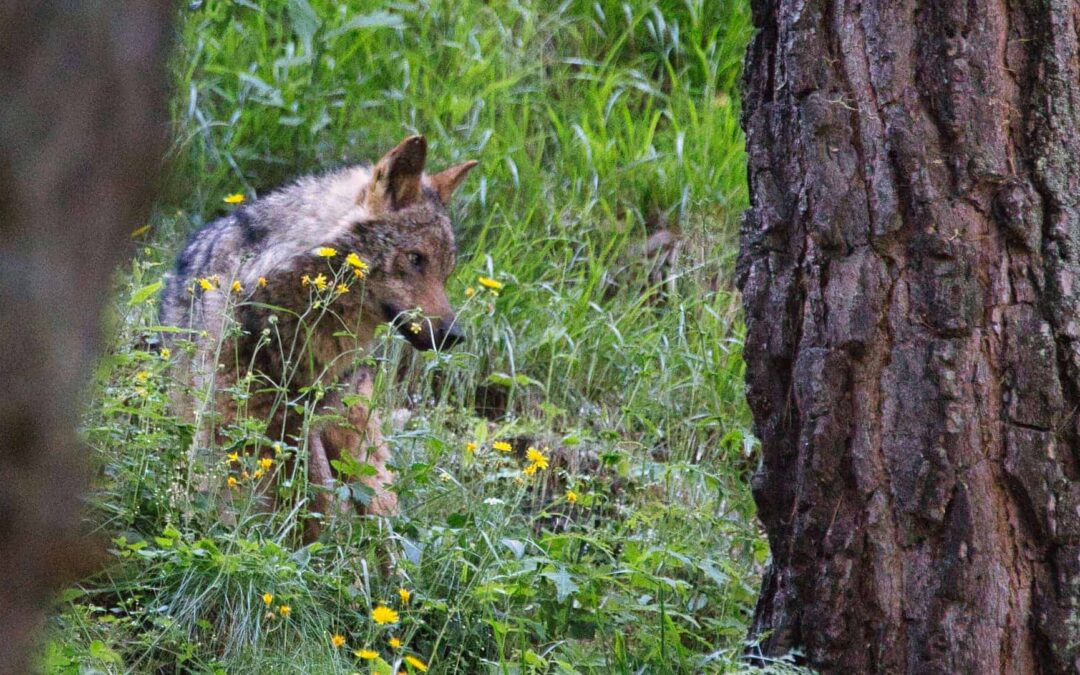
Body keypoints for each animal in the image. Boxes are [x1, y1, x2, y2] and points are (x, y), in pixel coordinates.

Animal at [160, 135, 476, 526]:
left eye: (446, 272)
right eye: (415, 259)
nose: (454, 335)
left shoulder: (304, 420)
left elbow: (318, 505)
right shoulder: (242, 421)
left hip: (355, 442)